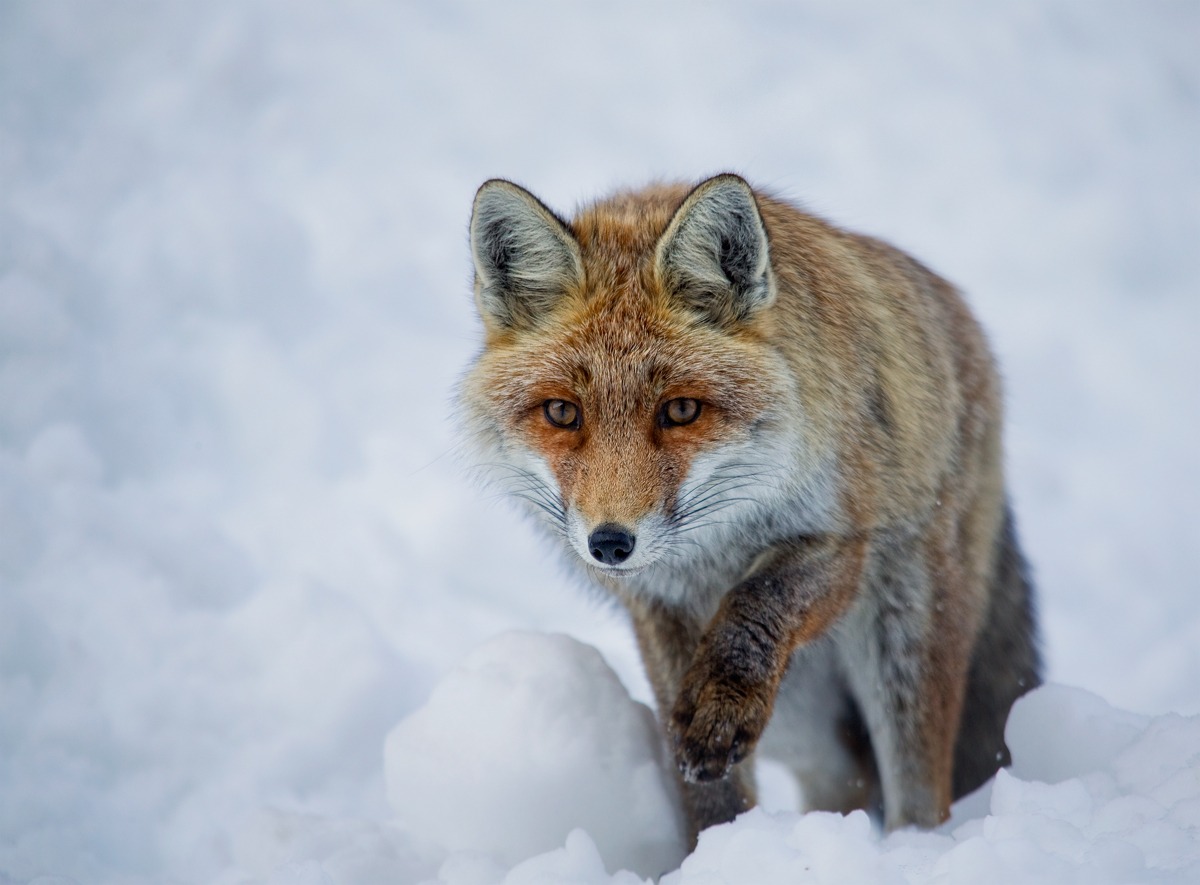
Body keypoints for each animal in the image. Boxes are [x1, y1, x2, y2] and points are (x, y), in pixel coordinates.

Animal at [459, 173, 1040, 844]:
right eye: (562, 412)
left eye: (681, 410)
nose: (610, 543)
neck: (713, 550)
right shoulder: (657, 607)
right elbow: (710, 793)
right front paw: (718, 848)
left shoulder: (839, 536)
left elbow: (755, 606)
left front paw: (721, 705)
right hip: (805, 717)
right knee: (845, 776)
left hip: (904, 640)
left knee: (919, 794)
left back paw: (915, 848)